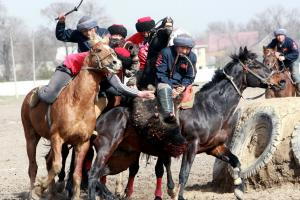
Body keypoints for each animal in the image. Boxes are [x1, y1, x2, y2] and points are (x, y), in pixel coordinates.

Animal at [20, 41, 121, 199]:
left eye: (113, 50)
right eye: (98, 49)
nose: (116, 62)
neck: (78, 102)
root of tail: (28, 97)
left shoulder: (82, 143)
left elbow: (76, 174)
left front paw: (74, 195)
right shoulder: (57, 137)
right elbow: (57, 166)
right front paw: (40, 187)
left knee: (47, 160)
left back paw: (52, 192)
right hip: (30, 136)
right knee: (33, 166)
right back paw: (34, 193)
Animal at [86, 47, 272, 200]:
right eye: (255, 65)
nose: (275, 77)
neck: (210, 107)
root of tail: (100, 118)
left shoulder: (214, 147)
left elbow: (235, 161)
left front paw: (239, 188)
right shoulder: (191, 145)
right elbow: (184, 173)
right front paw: (179, 195)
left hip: (124, 154)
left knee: (99, 174)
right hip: (107, 148)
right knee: (93, 174)